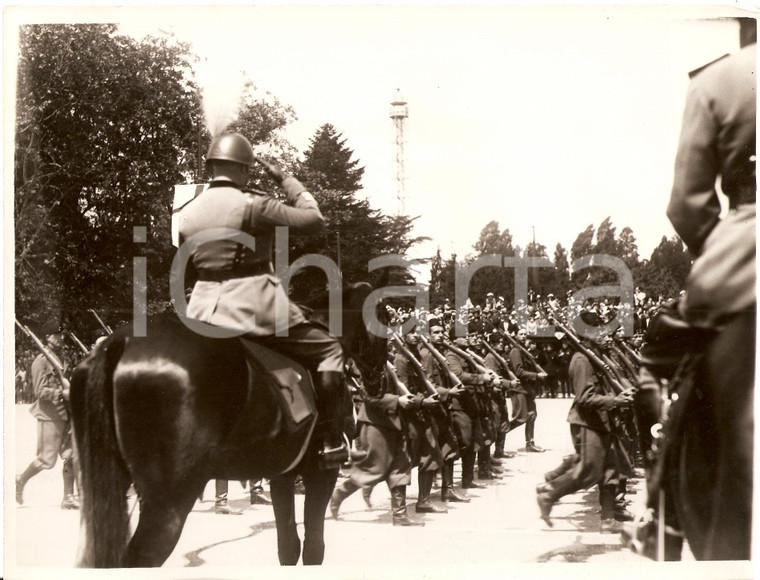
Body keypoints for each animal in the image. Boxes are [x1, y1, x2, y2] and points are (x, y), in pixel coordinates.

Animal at [69, 282, 388, 568]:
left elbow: (288, 545)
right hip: (169, 501)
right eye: (385, 329)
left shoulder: (282, 474)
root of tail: (119, 342)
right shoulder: (320, 474)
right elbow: (313, 547)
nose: (379, 383)